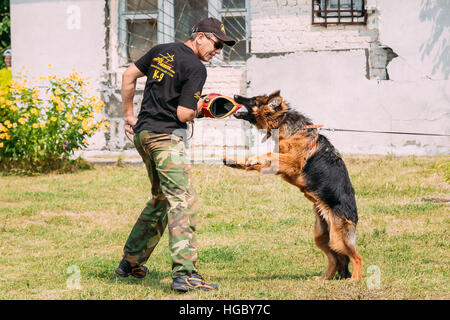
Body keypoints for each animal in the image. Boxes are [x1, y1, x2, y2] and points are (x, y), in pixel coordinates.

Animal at [224, 89, 362, 280]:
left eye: (253, 100)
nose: (236, 96)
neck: (284, 123)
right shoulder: (278, 164)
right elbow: (262, 160)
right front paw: (236, 161)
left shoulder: (292, 163)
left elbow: (269, 154)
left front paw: (250, 159)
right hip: (322, 237)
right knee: (336, 259)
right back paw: (323, 279)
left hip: (337, 238)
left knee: (356, 257)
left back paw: (354, 279)